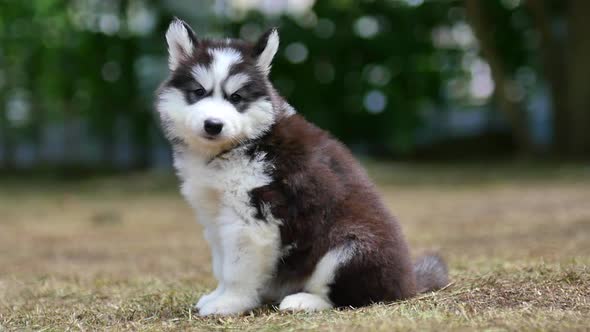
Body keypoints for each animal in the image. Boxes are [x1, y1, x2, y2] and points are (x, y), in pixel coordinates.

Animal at [157, 18, 448, 316]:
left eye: (236, 97)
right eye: (198, 92)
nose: (213, 125)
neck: (237, 146)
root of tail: (409, 283)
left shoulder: (252, 218)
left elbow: (237, 270)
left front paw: (230, 303)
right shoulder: (214, 216)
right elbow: (222, 264)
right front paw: (218, 295)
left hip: (347, 248)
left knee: (348, 297)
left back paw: (303, 301)